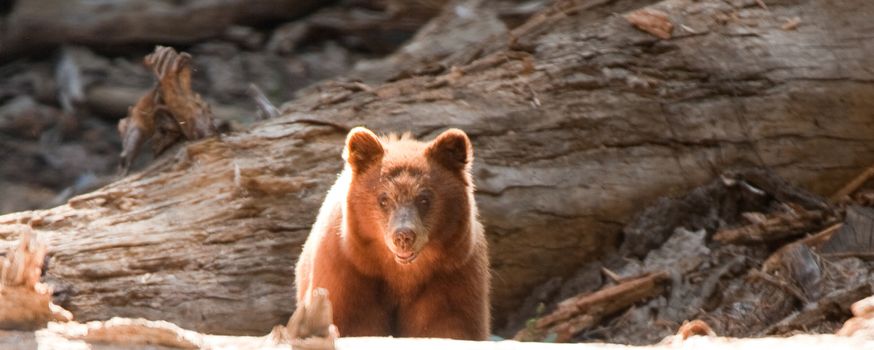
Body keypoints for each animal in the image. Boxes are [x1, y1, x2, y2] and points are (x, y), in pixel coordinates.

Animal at [294, 126, 490, 340]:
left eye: (424, 199)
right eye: (384, 199)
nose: (403, 236)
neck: (400, 274)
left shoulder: (452, 276)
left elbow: (451, 324)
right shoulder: (347, 272)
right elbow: (347, 320)